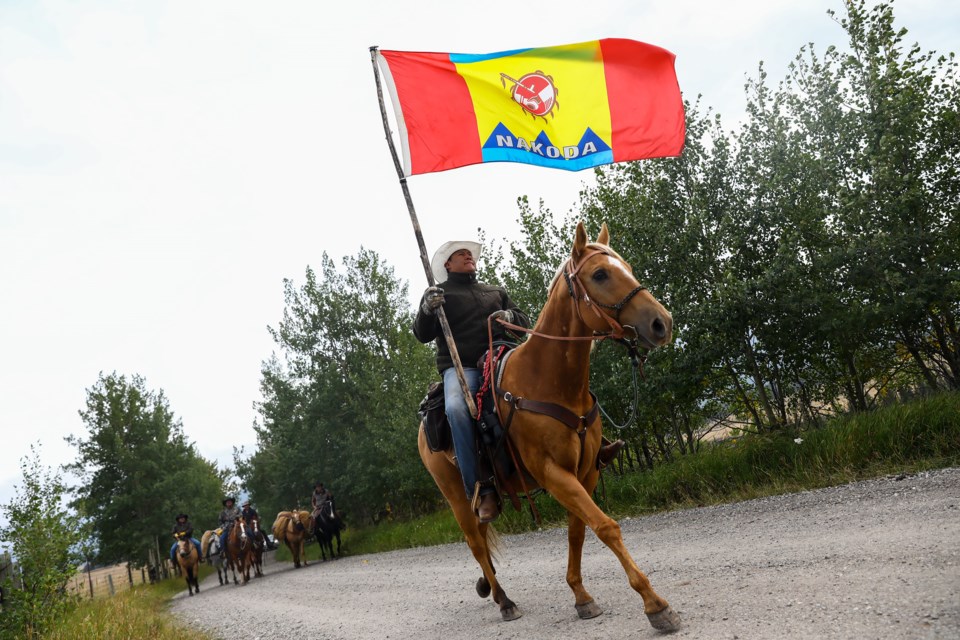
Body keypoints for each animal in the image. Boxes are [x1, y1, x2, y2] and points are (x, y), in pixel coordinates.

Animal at [416, 222, 680, 632]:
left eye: (628, 267)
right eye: (600, 274)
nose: (661, 323)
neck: (547, 382)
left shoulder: (585, 471)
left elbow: (578, 530)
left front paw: (582, 596)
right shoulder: (553, 473)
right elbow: (606, 526)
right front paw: (655, 605)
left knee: (482, 544)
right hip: (457, 496)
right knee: (475, 542)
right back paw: (505, 601)